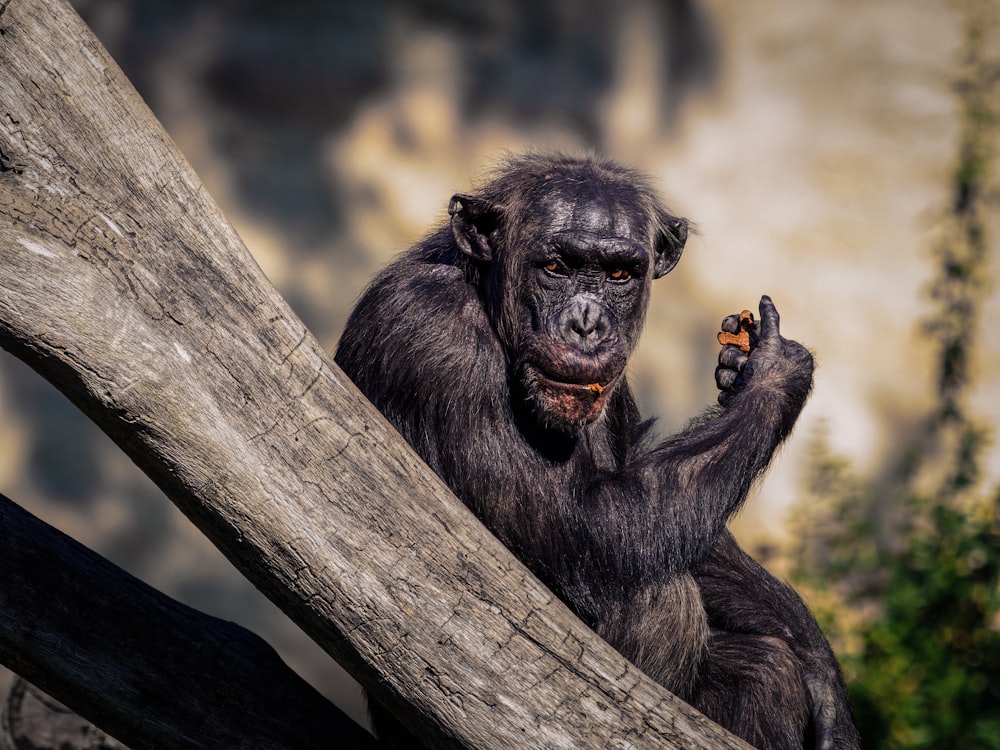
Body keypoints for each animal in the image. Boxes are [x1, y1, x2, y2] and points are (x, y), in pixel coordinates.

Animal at [338, 154, 860, 750]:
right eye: (556, 267)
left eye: (618, 276)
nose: (587, 324)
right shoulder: (437, 339)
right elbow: (584, 522)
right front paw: (774, 373)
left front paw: (823, 676)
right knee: (661, 596)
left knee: (764, 670)